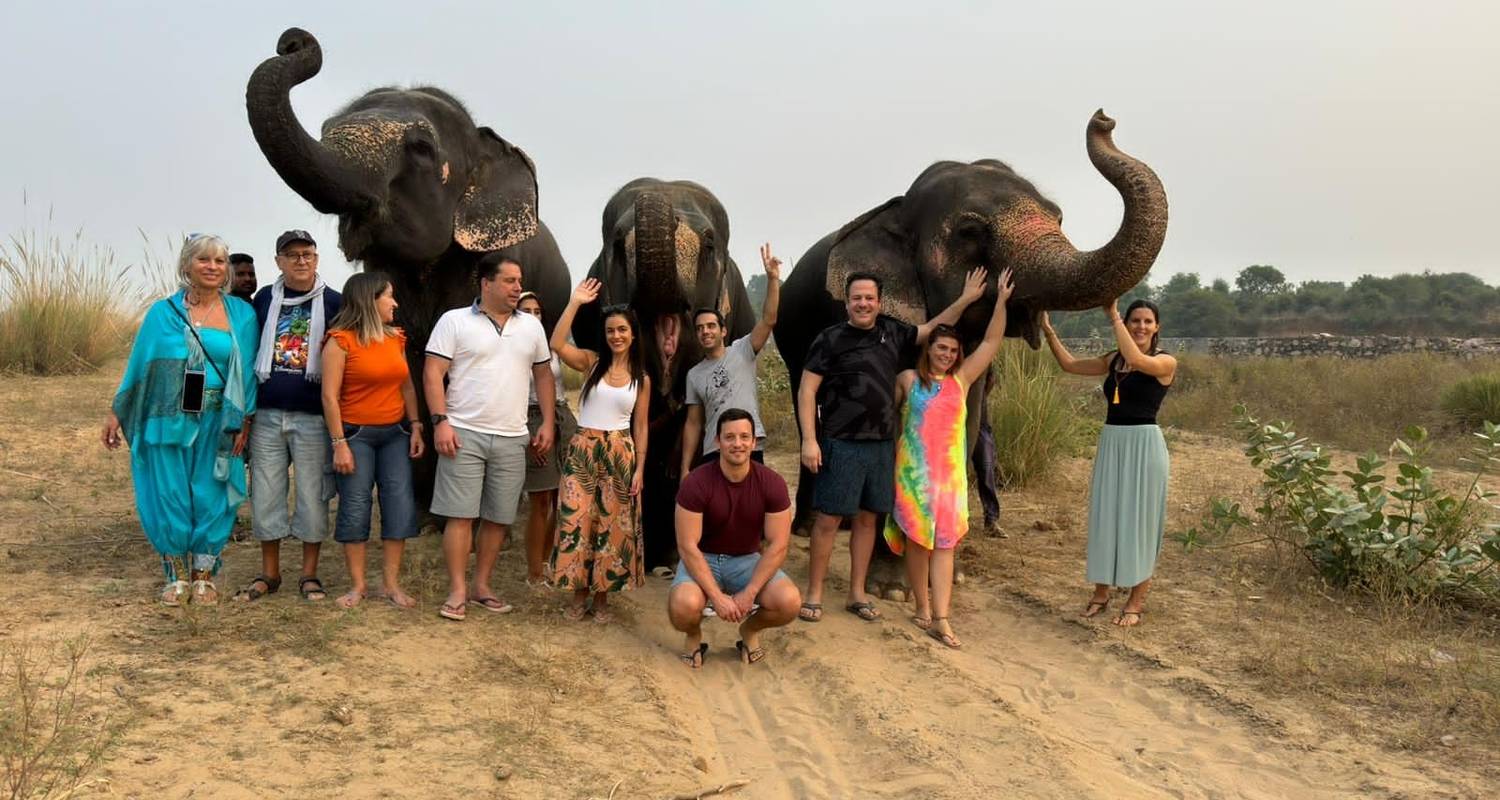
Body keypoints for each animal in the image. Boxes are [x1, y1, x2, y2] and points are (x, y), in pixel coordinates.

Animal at [774, 111, 1170, 600]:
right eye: (970, 232)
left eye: (1059, 216)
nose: (1104, 118)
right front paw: (893, 589)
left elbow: (966, 417)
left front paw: (947, 572)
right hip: (793, 336)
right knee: (806, 401)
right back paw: (810, 528)